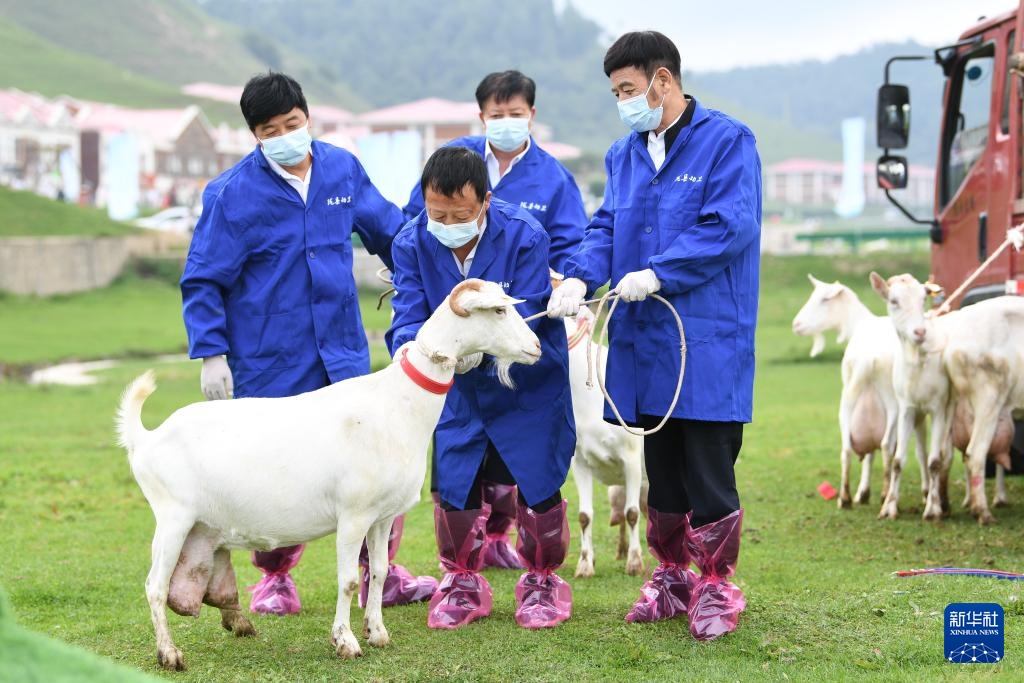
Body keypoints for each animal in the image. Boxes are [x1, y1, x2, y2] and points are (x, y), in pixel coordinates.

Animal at [115, 280, 540, 671]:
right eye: (499, 310)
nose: (536, 347)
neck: (395, 405)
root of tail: (146, 437)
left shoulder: (382, 516)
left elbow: (379, 571)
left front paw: (377, 632)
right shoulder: (352, 515)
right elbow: (349, 579)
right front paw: (345, 641)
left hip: (203, 528)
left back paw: (239, 625)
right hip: (173, 517)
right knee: (155, 586)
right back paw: (169, 654)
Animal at [569, 307, 647, 581]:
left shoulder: (631, 458)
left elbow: (632, 513)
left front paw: (635, 564)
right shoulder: (579, 461)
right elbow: (584, 516)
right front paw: (584, 565)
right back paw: (622, 550)